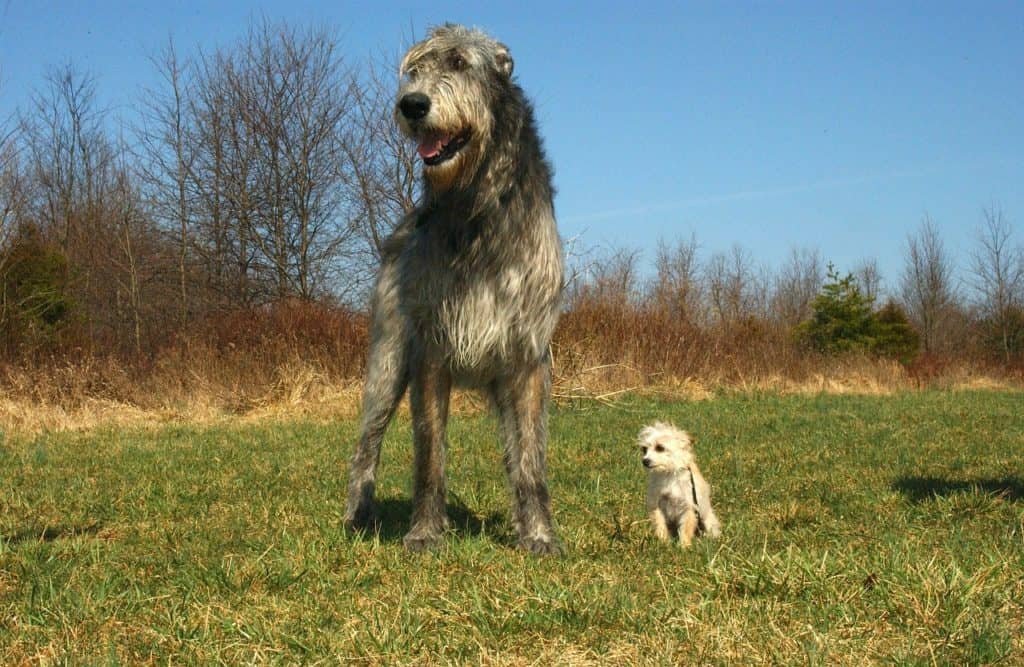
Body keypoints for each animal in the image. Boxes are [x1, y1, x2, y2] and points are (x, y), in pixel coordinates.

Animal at [346, 24, 569, 557]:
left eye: (461, 63)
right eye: (414, 71)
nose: (412, 104)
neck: (477, 206)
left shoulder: (529, 356)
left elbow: (530, 460)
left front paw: (539, 534)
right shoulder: (430, 351)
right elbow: (429, 454)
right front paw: (425, 532)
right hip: (387, 361)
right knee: (367, 443)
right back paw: (358, 514)